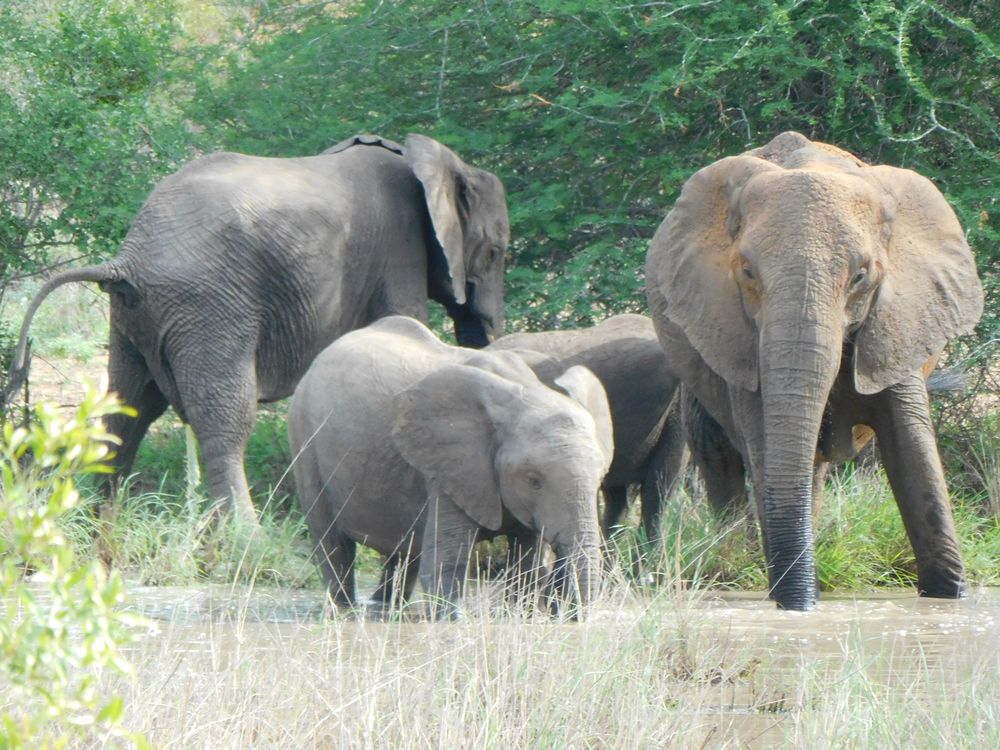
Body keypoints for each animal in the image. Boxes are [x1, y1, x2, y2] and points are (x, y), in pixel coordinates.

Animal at [5, 134, 508, 524]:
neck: (437, 162)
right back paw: (247, 539)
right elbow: (402, 322)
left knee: (128, 406)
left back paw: (98, 525)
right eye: (496, 252)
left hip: (134, 315)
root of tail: (128, 257)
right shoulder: (399, 250)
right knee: (225, 416)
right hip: (208, 305)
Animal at [644, 131, 980, 612]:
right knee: (718, 451)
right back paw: (741, 559)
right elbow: (763, 440)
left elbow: (910, 446)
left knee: (811, 466)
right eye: (747, 272)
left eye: (861, 276)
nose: (800, 606)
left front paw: (951, 597)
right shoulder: (738, 333)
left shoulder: (898, 321)